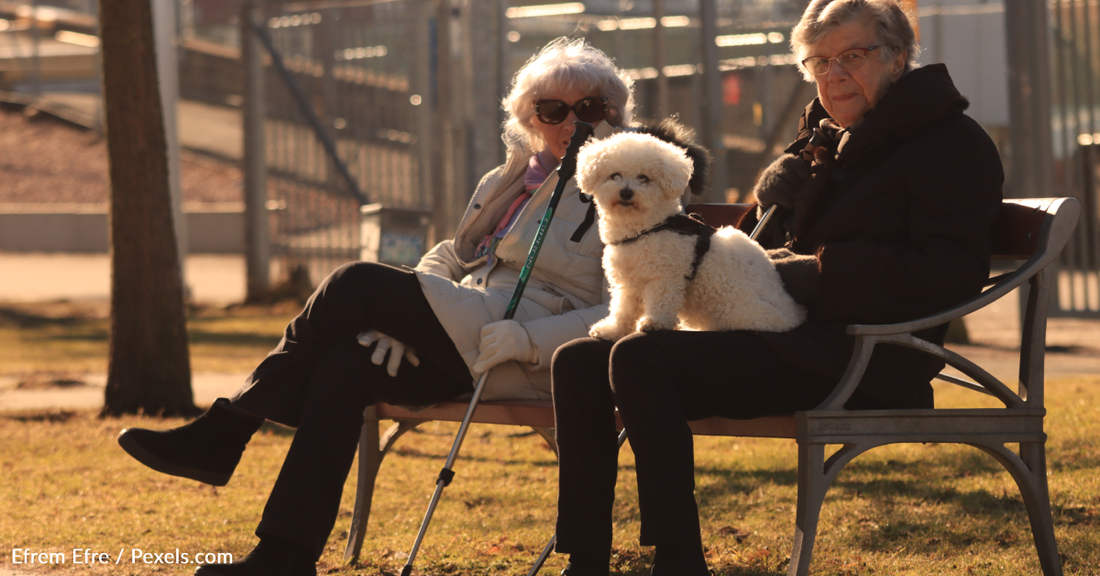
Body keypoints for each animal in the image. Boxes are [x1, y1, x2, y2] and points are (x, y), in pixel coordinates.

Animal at [580, 132, 805, 340]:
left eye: (643, 178)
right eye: (614, 176)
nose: (626, 193)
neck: (649, 228)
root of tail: (792, 318)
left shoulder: (664, 276)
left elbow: (660, 301)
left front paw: (654, 323)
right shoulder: (628, 283)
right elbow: (622, 310)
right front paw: (612, 330)